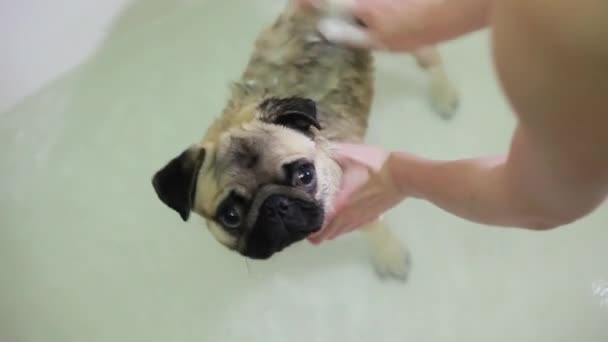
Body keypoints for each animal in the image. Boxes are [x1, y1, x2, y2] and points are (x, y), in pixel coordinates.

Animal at [150, 0, 458, 280]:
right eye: (231, 216)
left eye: (305, 175)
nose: (275, 205)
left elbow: (372, 226)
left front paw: (388, 254)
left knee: (429, 55)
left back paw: (443, 94)